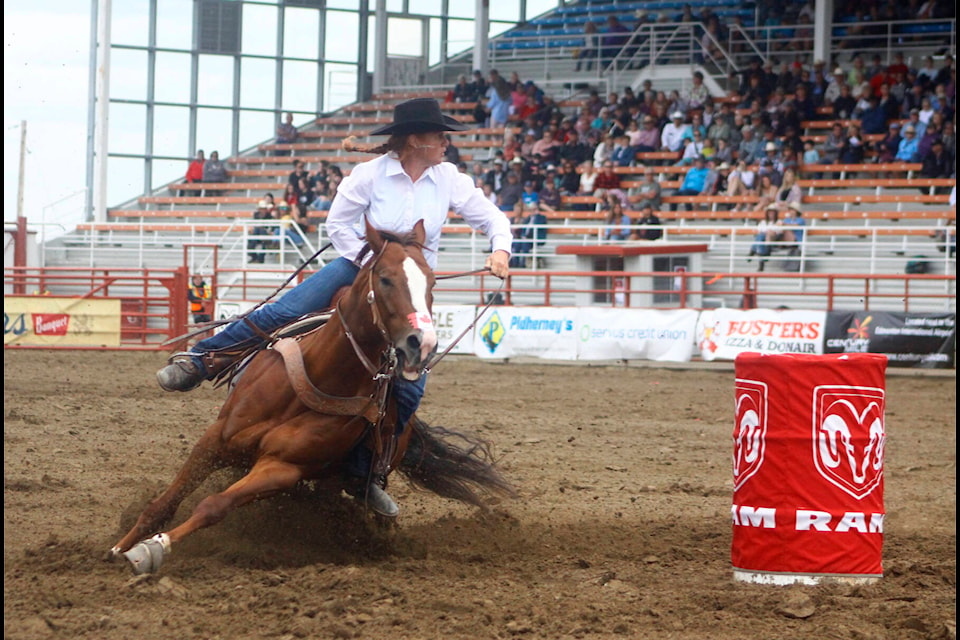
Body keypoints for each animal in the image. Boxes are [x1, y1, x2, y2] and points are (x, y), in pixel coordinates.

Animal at [111, 220, 512, 576]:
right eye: (385, 278)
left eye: (431, 282)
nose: (422, 344)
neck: (319, 376)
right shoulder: (217, 438)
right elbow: (165, 502)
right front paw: (121, 546)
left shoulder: (282, 468)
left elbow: (213, 506)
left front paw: (151, 549)